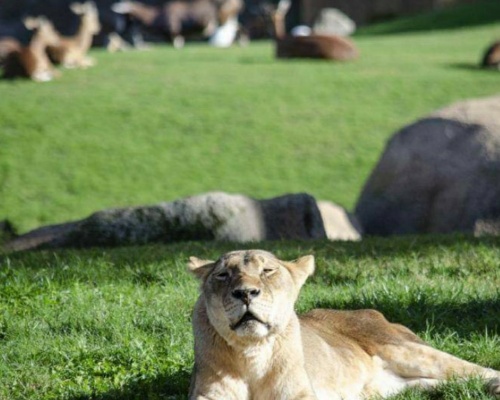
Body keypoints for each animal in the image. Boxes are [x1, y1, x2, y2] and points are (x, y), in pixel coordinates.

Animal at [114, 0, 246, 48]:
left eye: (126, 16)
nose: (120, 31)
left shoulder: (174, 30)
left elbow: (176, 42)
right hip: (229, 19)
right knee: (238, 28)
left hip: (225, 19)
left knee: (234, 30)